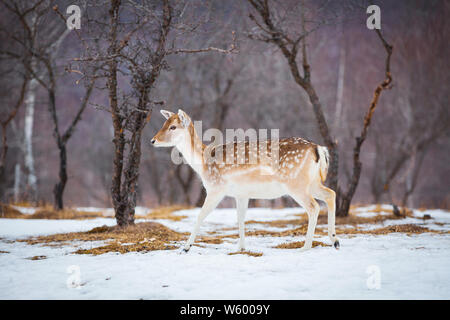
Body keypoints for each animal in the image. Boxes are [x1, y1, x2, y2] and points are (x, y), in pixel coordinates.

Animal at [151, 110, 338, 252]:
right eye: (164, 123)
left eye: (173, 127)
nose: (153, 140)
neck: (204, 165)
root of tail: (318, 149)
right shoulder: (241, 194)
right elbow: (240, 217)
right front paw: (241, 247)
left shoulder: (216, 188)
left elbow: (200, 215)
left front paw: (186, 247)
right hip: (312, 182)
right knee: (331, 194)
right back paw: (334, 240)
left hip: (295, 183)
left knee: (313, 206)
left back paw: (306, 246)